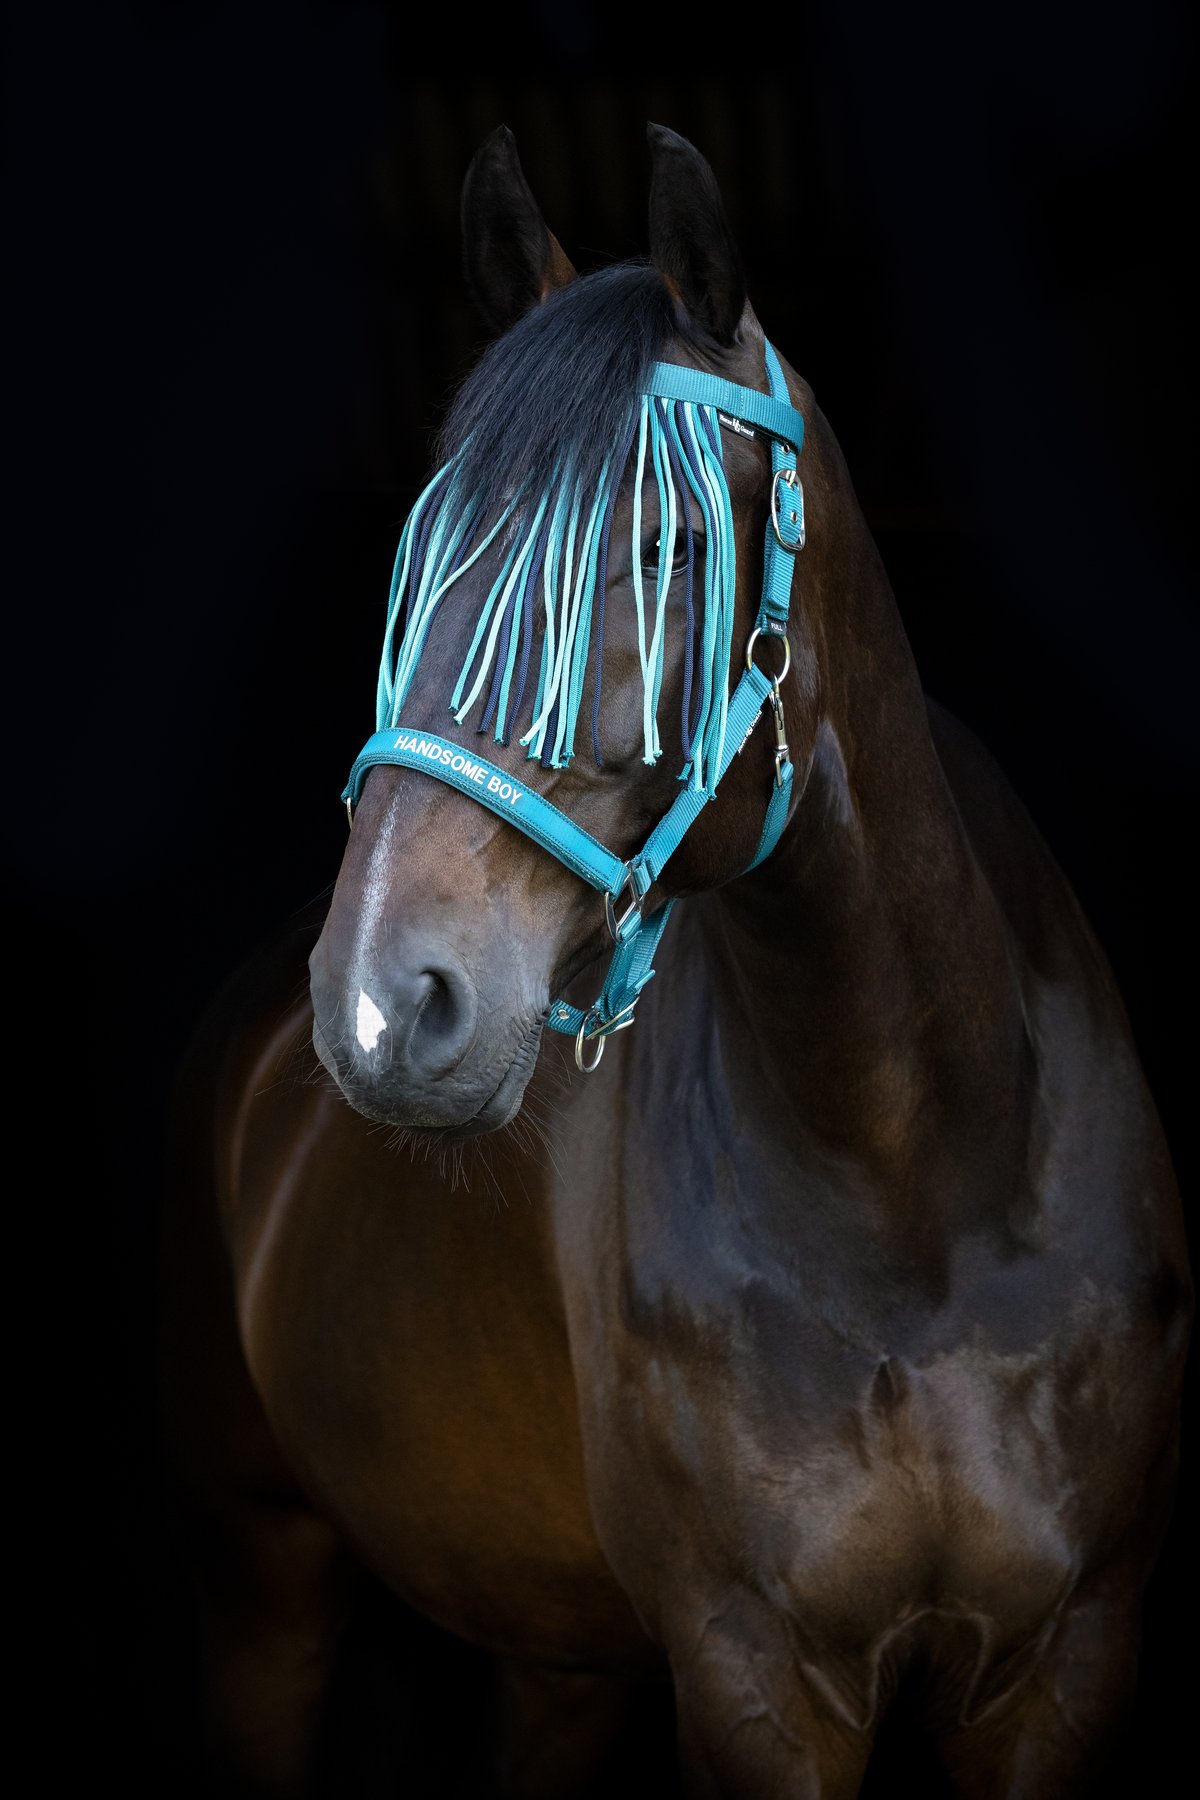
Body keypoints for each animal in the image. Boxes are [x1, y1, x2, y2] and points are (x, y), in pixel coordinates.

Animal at [160, 121, 1192, 1798]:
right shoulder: (754, 1681)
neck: (921, 1187)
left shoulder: (1064, 1662)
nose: (383, 1003)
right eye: (421, 554)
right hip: (264, 1580)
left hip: (556, 1655)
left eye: (668, 542)